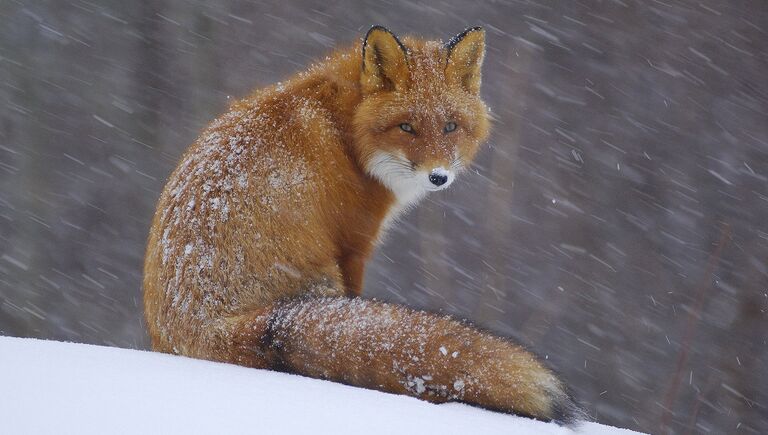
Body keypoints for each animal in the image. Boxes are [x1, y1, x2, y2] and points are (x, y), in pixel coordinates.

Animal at [142, 26, 584, 422]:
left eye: (450, 127)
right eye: (406, 127)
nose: (438, 177)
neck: (347, 131)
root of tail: (201, 326)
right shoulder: (354, 244)